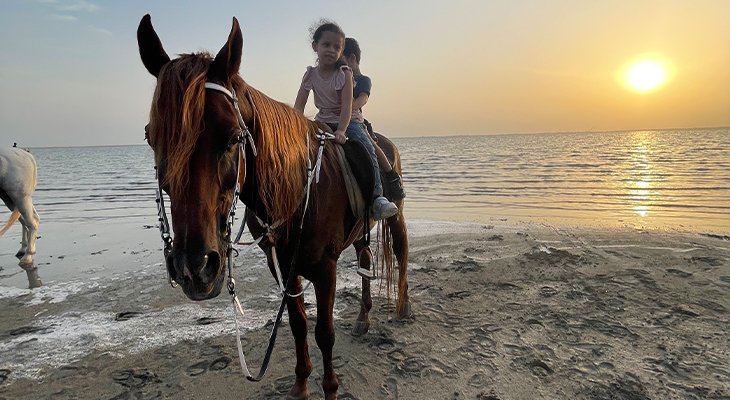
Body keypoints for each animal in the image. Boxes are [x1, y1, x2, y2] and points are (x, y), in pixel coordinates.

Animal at [137, 14, 410, 398]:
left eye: (234, 137)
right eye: (152, 137)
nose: (195, 268)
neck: (299, 189)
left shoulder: (324, 268)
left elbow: (324, 334)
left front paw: (330, 388)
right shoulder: (281, 264)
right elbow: (297, 324)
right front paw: (300, 383)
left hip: (396, 216)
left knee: (400, 253)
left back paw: (404, 306)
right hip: (358, 233)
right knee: (366, 262)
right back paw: (363, 318)